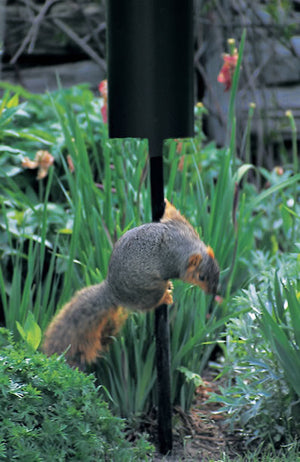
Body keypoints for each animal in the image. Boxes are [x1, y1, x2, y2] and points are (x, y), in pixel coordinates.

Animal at [42, 200, 219, 370]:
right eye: (201, 277)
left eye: (217, 269)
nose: (214, 292)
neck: (185, 245)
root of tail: (113, 292)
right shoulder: (173, 262)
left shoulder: (181, 226)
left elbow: (173, 214)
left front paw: (167, 202)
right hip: (149, 290)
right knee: (149, 303)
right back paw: (164, 297)